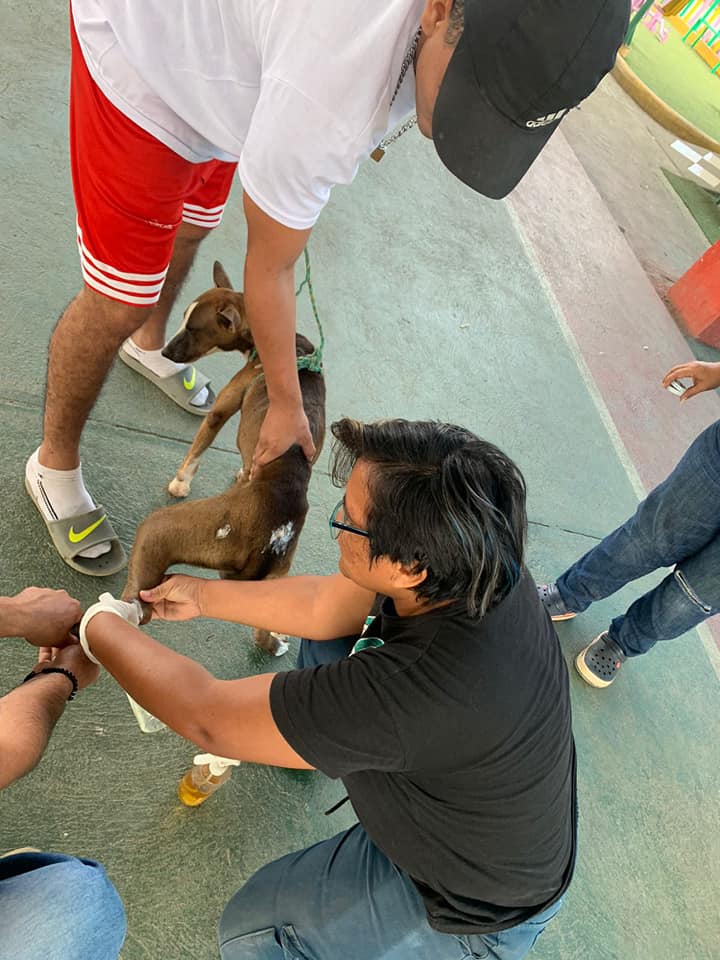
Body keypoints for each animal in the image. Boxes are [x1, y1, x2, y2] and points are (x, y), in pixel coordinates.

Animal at [122, 261, 326, 655]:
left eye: (194, 328)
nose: (165, 352)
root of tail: (272, 538)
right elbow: (245, 464)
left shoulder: (222, 409)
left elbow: (197, 448)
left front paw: (180, 482)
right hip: (276, 580)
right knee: (262, 630)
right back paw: (275, 643)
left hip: (160, 534)